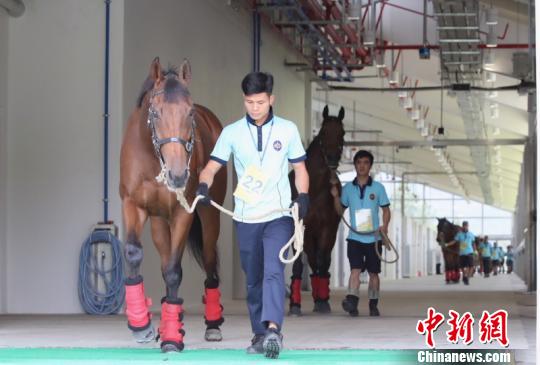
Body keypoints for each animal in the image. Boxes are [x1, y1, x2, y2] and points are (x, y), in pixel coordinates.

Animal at [119, 58, 227, 352]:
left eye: (189, 114)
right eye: (155, 113)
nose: (178, 176)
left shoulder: (183, 212)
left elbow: (174, 271)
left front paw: (170, 337)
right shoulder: (132, 204)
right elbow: (134, 253)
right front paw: (141, 326)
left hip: (209, 215)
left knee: (209, 260)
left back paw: (212, 324)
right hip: (158, 220)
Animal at [288, 104, 344, 312]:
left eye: (342, 133)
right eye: (323, 132)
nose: (332, 158)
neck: (312, 189)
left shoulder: (327, 228)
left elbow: (322, 260)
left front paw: (322, 302)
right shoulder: (296, 228)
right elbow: (298, 263)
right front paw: (294, 305)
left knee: (323, 261)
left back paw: (322, 297)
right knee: (311, 260)